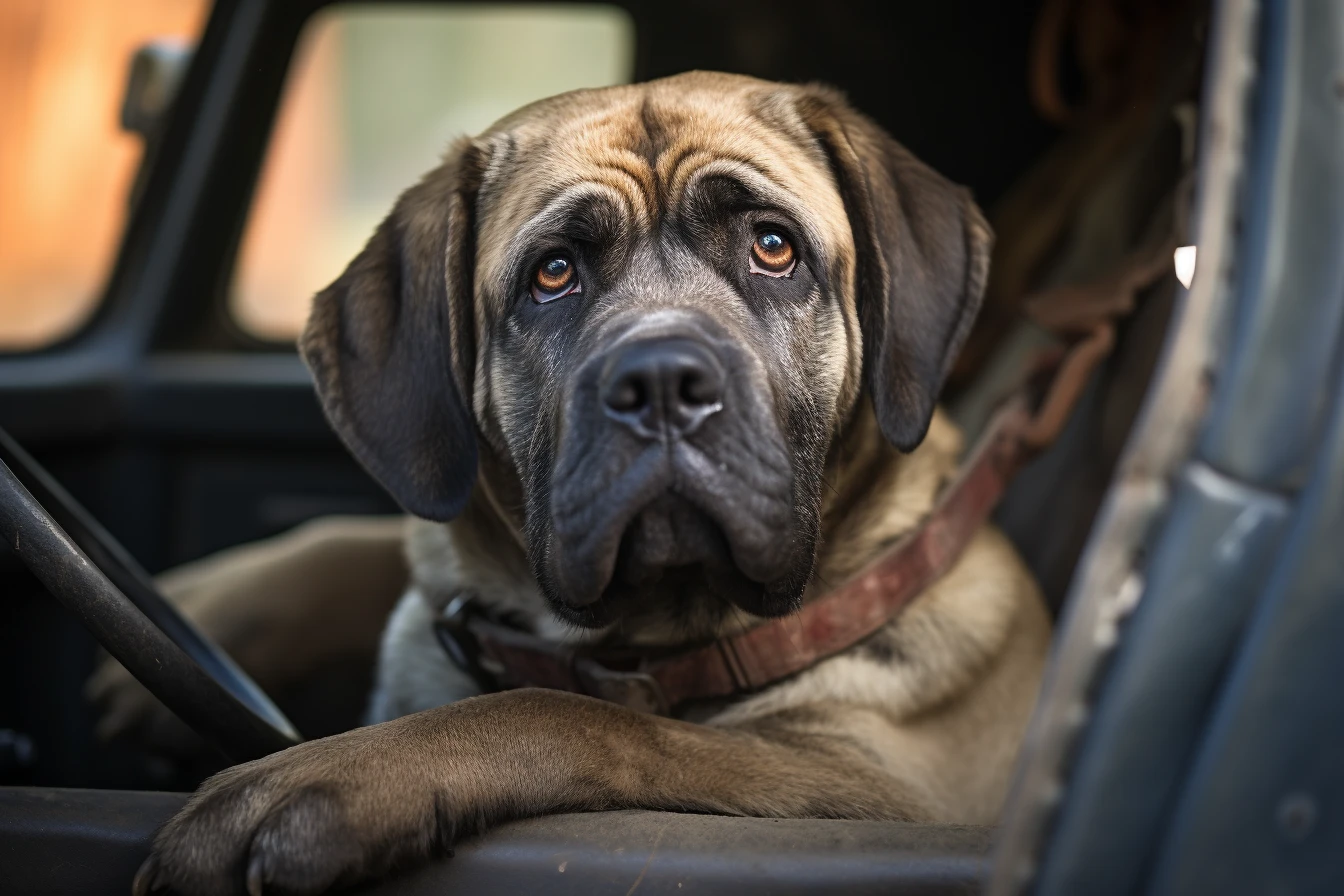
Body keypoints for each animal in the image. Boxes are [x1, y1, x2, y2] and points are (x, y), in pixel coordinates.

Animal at [139, 71, 1059, 896]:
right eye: (553, 272)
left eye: (773, 247)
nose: (661, 381)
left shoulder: (870, 783)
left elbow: (585, 717)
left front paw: (329, 775)